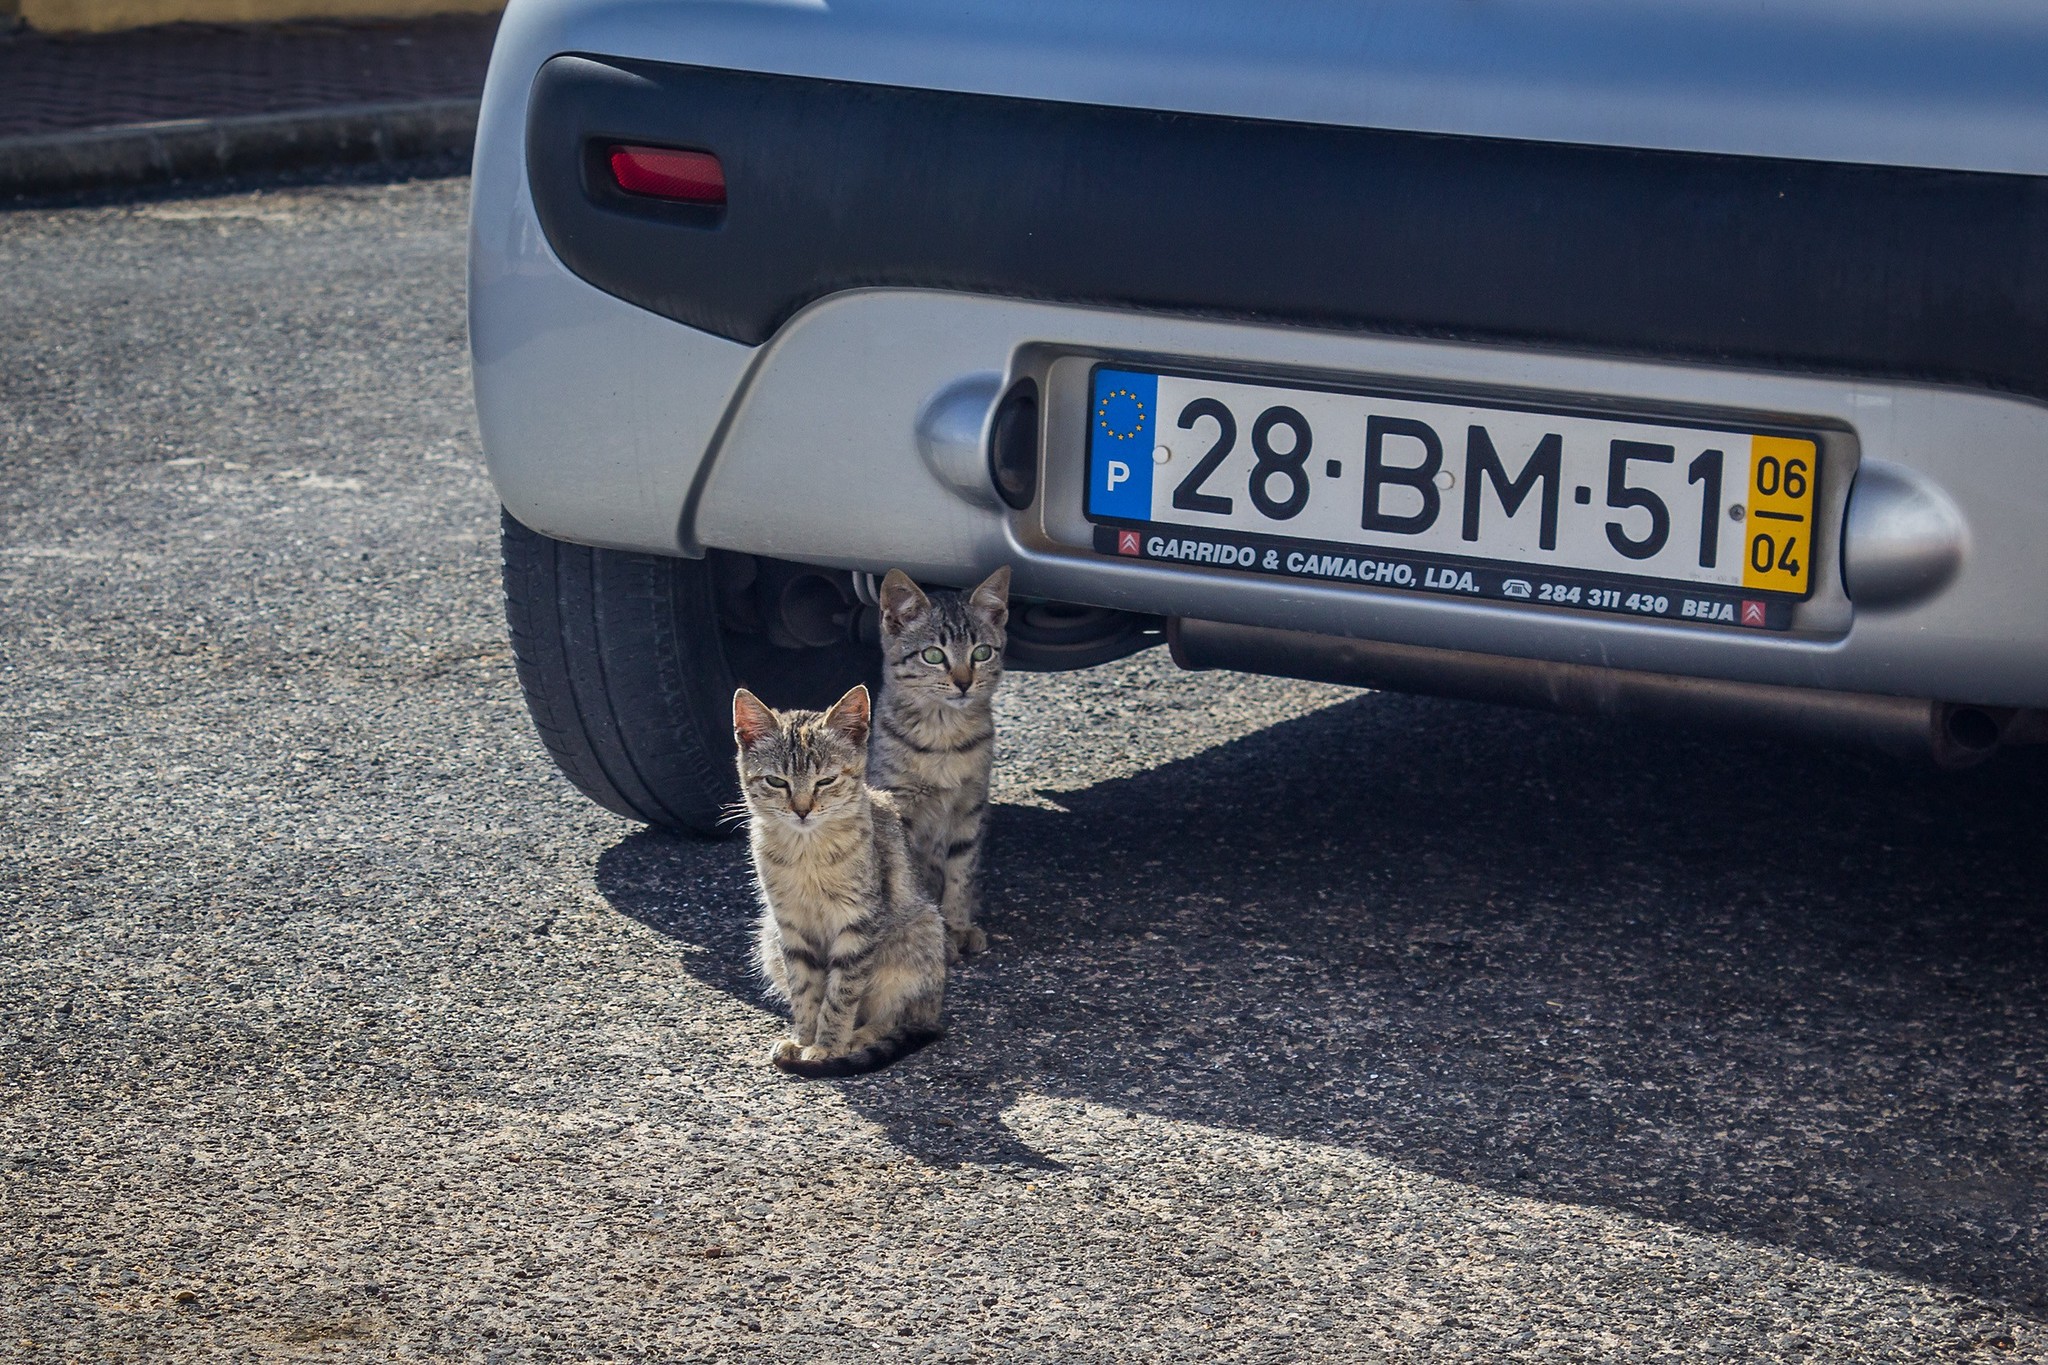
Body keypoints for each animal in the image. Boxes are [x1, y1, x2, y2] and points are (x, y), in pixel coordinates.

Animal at [733, 683, 946, 1080]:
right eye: (776, 781)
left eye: (826, 781)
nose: (802, 810)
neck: (806, 853)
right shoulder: (789, 926)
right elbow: (805, 990)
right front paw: (804, 1039)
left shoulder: (858, 922)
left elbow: (841, 994)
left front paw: (827, 1046)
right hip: (768, 937)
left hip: (918, 938)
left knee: (899, 1017)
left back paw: (860, 1037)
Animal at [868, 564, 1011, 961]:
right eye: (933, 655)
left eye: (981, 652)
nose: (963, 683)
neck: (944, 738)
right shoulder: (899, 805)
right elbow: (914, 874)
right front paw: (939, 935)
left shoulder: (971, 806)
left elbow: (961, 870)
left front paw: (959, 926)